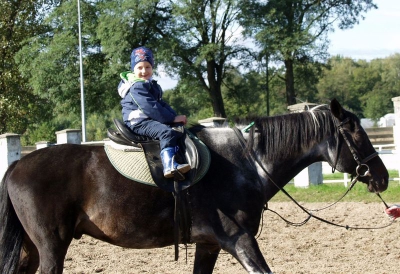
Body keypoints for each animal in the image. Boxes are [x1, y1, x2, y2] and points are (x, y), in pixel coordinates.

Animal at [0, 99, 388, 272]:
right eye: (356, 133)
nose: (382, 176)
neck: (245, 162)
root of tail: (17, 164)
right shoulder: (239, 240)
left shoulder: (209, 244)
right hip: (51, 247)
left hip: (33, 249)